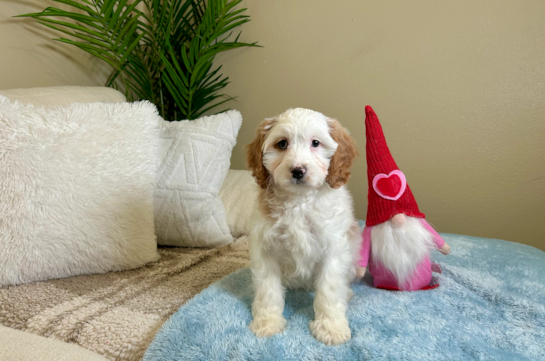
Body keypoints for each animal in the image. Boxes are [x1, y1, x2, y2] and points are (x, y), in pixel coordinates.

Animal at [244, 108, 360, 344]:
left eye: (315, 143)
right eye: (282, 144)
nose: (298, 170)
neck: (298, 201)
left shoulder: (333, 248)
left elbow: (329, 289)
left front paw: (331, 327)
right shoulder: (264, 249)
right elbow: (267, 289)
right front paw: (268, 322)